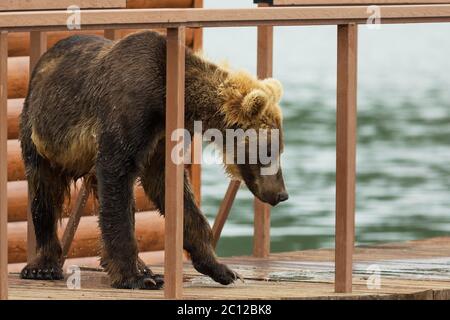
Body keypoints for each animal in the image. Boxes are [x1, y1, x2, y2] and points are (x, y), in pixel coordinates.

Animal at [19, 30, 288, 290]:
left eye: (280, 150)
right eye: (269, 151)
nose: (282, 194)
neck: (170, 98)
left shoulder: (163, 137)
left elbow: (172, 190)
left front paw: (222, 269)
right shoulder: (130, 111)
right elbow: (117, 173)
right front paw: (135, 277)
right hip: (41, 132)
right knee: (44, 193)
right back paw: (43, 265)